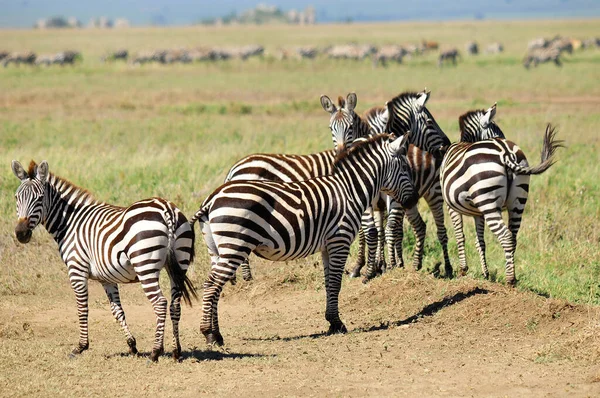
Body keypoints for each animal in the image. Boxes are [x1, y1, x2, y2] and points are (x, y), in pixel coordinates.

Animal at [10, 159, 197, 360]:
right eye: (16, 198)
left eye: (39, 198)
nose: (21, 234)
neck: (70, 223)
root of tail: (166, 209)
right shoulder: (106, 277)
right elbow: (117, 311)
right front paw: (132, 345)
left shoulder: (77, 270)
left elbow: (82, 308)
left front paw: (81, 346)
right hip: (178, 265)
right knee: (175, 305)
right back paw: (176, 351)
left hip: (145, 266)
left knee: (160, 303)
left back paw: (155, 352)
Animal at [191, 134, 418, 346]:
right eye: (405, 168)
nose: (414, 200)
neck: (350, 191)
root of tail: (212, 198)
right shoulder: (340, 240)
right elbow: (336, 283)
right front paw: (337, 324)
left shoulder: (328, 245)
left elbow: (329, 283)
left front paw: (331, 321)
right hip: (234, 246)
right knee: (211, 285)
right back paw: (210, 334)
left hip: (216, 249)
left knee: (215, 287)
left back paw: (217, 334)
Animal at [440, 109, 564, 282]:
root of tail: (506, 152)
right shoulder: (478, 213)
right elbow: (480, 241)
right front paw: (485, 273)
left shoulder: (451, 206)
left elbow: (460, 236)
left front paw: (463, 270)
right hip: (517, 202)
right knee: (513, 237)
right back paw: (512, 275)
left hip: (489, 203)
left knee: (505, 236)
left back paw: (510, 279)